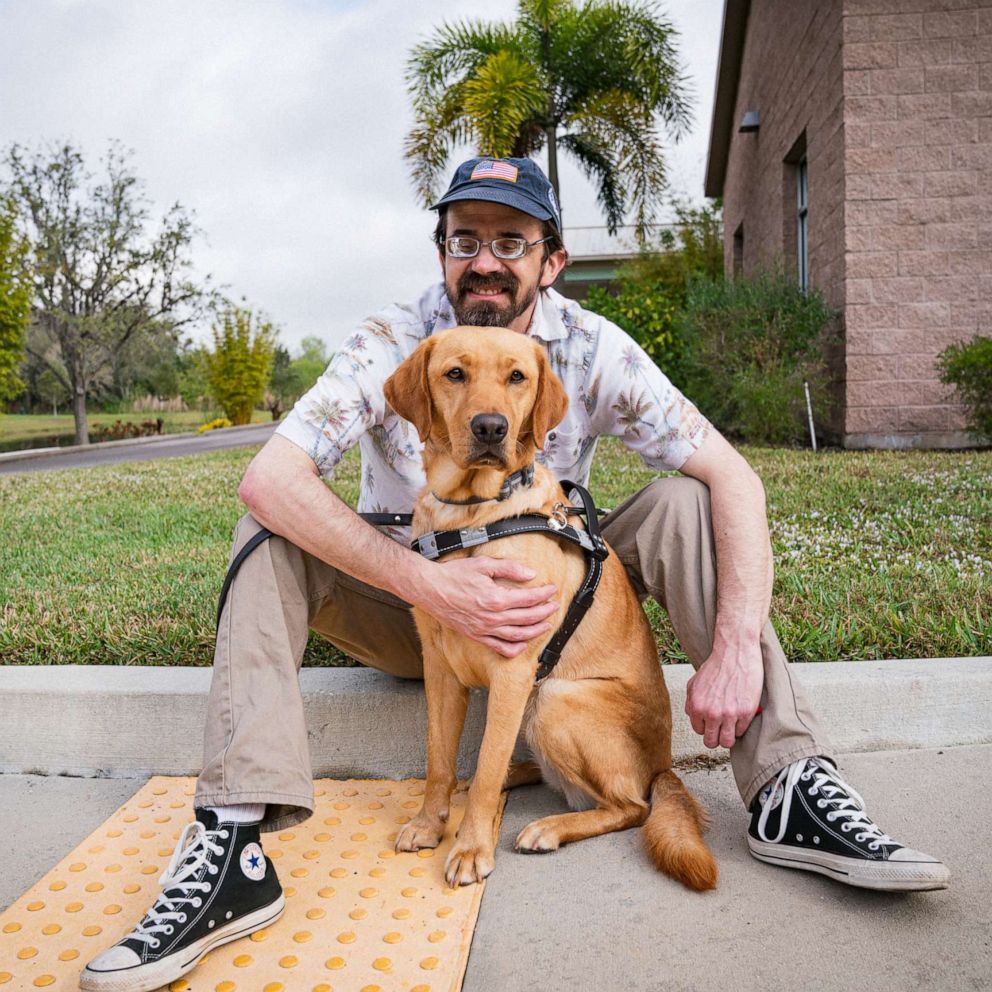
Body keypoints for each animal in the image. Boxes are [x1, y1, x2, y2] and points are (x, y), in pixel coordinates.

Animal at [384, 326, 716, 892]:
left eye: (517, 376)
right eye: (455, 374)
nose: (490, 427)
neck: (473, 515)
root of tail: (663, 765)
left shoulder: (514, 667)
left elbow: (488, 759)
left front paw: (470, 848)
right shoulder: (440, 666)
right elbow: (438, 759)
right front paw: (429, 823)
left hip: (555, 698)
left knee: (631, 807)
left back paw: (550, 826)